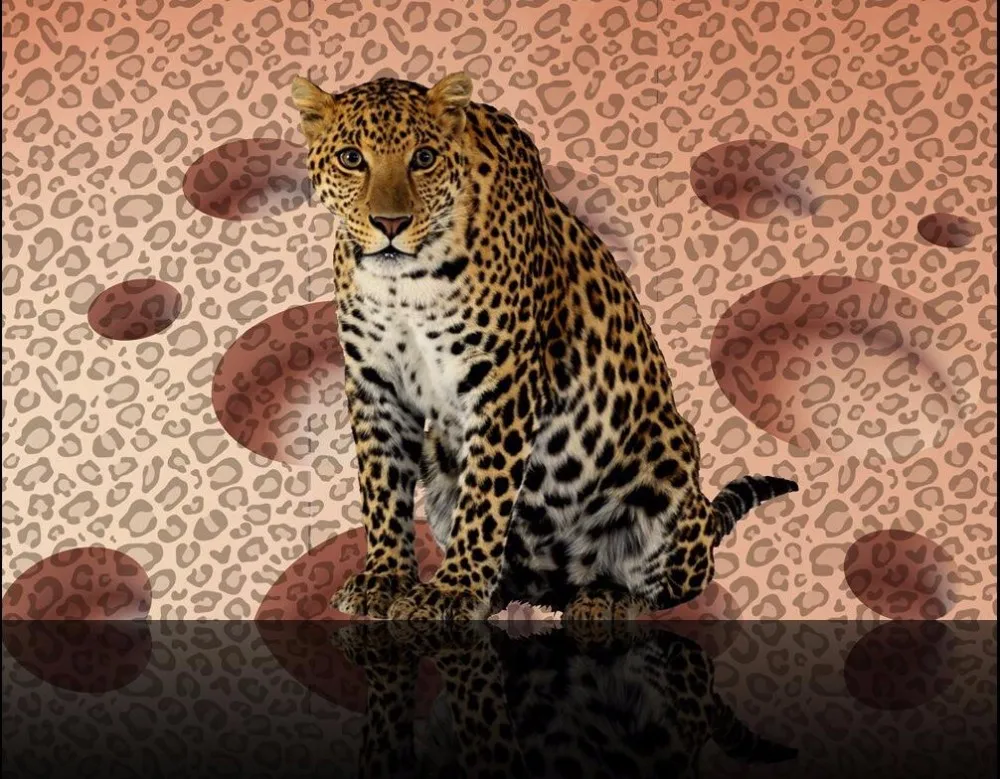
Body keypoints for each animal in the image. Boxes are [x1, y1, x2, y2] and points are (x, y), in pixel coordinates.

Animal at [291, 72, 799, 622]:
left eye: (423, 158)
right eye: (351, 158)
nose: (389, 224)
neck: (404, 282)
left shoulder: (503, 379)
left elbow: (485, 497)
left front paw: (451, 591)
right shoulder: (374, 380)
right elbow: (382, 484)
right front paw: (386, 580)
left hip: (668, 462)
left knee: (671, 584)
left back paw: (604, 599)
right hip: (440, 464)